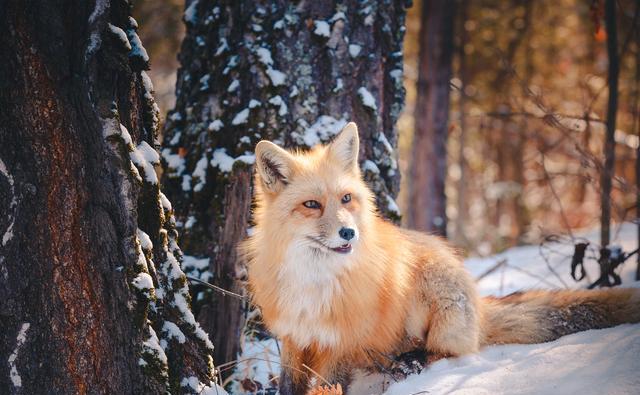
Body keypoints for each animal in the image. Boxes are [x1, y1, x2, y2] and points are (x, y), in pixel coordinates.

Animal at [241, 122, 640, 394]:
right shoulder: (294, 335)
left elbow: (327, 383)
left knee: (451, 351)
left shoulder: (344, 339)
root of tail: (478, 302)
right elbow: (290, 383)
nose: (349, 233)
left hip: (434, 290)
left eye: (346, 199)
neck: (315, 282)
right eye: (311, 204)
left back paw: (411, 361)